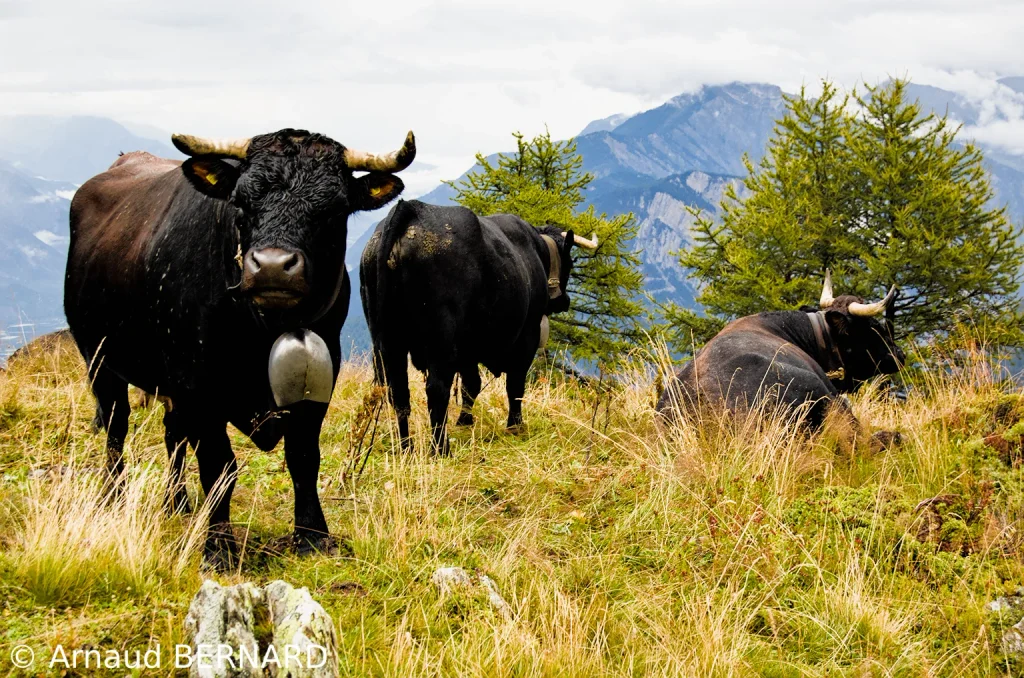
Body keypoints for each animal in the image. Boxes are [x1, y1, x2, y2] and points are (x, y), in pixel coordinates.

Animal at [65, 128, 415, 568]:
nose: (272, 267)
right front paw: (218, 547)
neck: (263, 328)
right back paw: (114, 497)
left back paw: (177, 504)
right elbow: (219, 466)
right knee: (116, 427)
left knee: (171, 433)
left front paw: (313, 537)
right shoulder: (196, 386)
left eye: (334, 210)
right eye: (241, 203)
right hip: (99, 359)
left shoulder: (321, 376)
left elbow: (303, 456)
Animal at [359, 200, 598, 455]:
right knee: (436, 390)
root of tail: (411, 208)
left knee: (398, 392)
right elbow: (515, 385)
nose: (564, 301)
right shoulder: (528, 335)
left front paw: (465, 421)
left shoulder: (467, 349)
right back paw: (440, 448)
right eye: (570, 262)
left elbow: (471, 384)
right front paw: (515, 426)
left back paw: (406, 447)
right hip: (441, 340)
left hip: (388, 340)